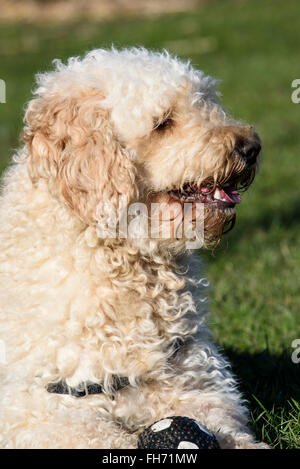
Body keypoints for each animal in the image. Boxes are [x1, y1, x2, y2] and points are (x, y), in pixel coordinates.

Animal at [0, 46, 264, 446]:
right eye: (163, 122)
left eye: (206, 103)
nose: (252, 146)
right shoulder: (36, 409)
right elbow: (106, 436)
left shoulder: (193, 380)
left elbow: (223, 424)